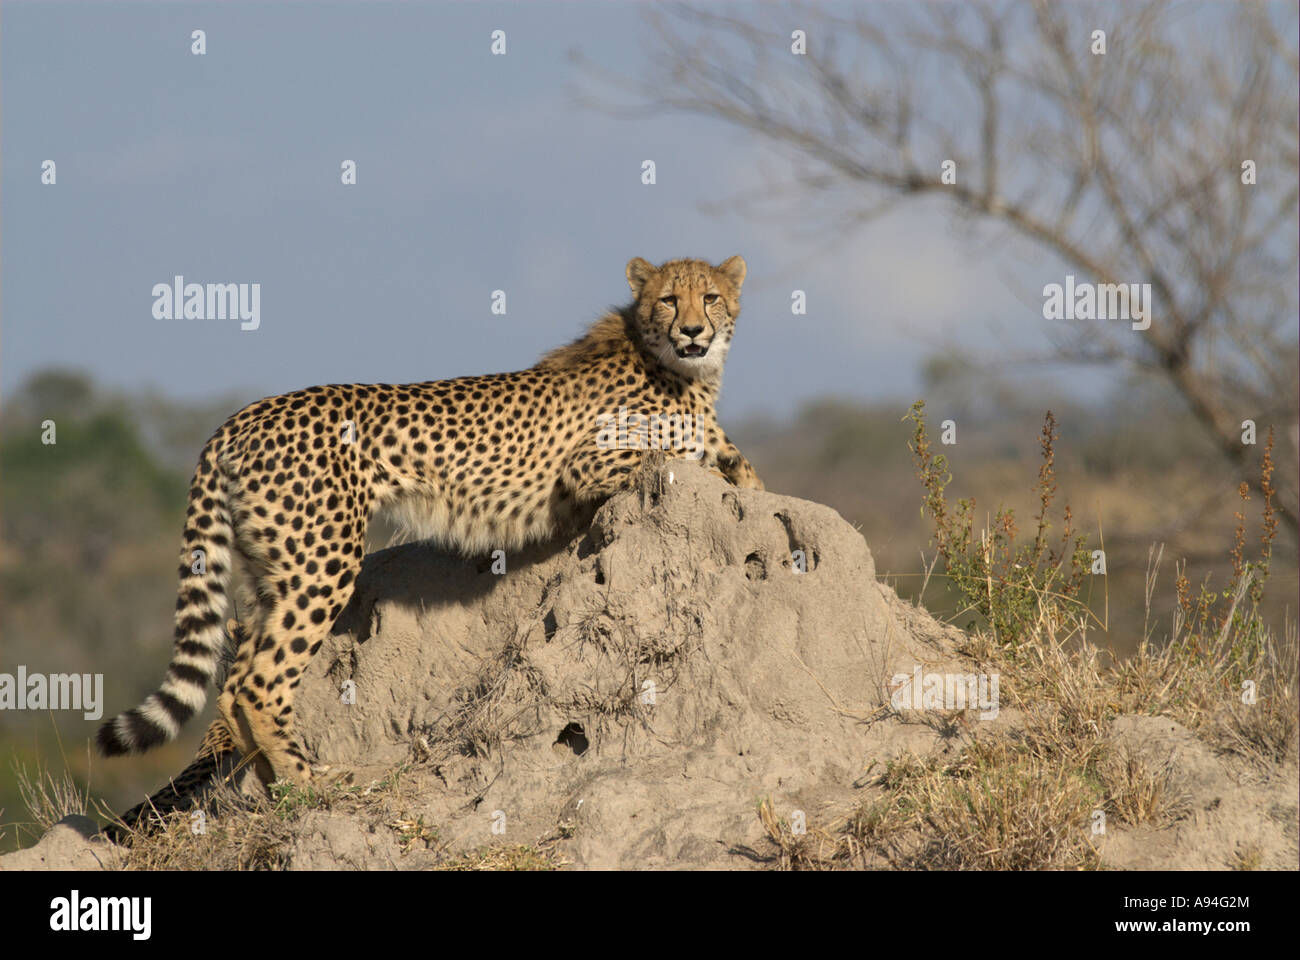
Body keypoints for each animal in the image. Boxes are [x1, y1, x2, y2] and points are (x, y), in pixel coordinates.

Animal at [97, 255, 763, 788]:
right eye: (668, 299)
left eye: (711, 296)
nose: (694, 330)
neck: (672, 364)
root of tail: (241, 417)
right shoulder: (589, 464)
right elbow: (680, 455)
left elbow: (737, 464)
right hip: (323, 563)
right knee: (258, 681)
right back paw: (309, 782)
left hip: (272, 570)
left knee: (235, 679)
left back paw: (267, 783)